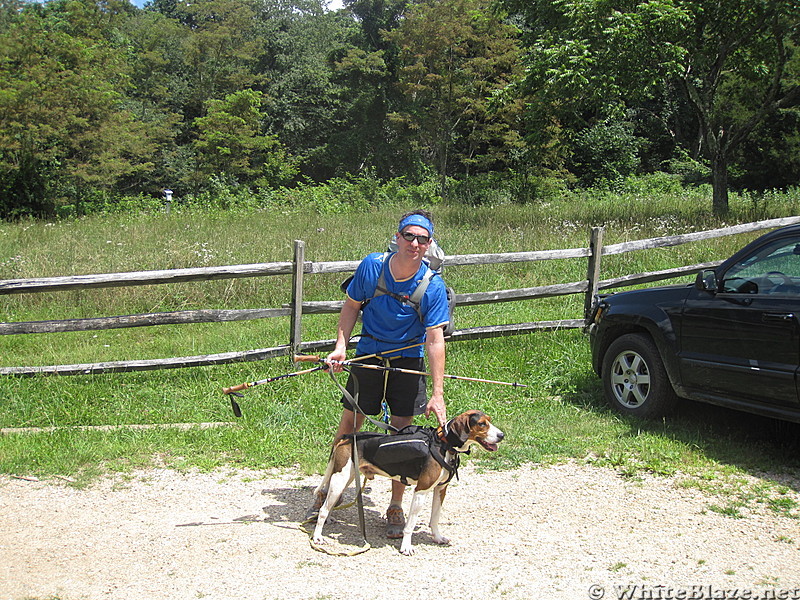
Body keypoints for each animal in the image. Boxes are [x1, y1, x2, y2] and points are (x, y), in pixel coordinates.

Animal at [310, 410, 504, 556]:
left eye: (489, 421)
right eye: (482, 424)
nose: (501, 435)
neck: (444, 444)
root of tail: (347, 437)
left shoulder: (440, 490)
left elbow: (435, 519)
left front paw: (437, 538)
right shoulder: (421, 491)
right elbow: (410, 525)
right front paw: (406, 547)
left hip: (346, 478)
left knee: (328, 506)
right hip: (340, 480)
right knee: (323, 509)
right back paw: (318, 536)